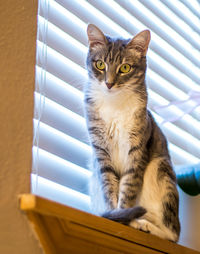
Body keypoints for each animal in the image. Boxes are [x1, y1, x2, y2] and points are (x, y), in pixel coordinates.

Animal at [83, 23, 180, 242]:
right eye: (100, 64)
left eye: (125, 68)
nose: (109, 84)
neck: (113, 104)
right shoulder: (101, 151)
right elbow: (109, 186)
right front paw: (115, 215)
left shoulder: (137, 150)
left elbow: (127, 188)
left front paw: (124, 217)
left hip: (162, 171)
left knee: (172, 233)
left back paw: (144, 225)